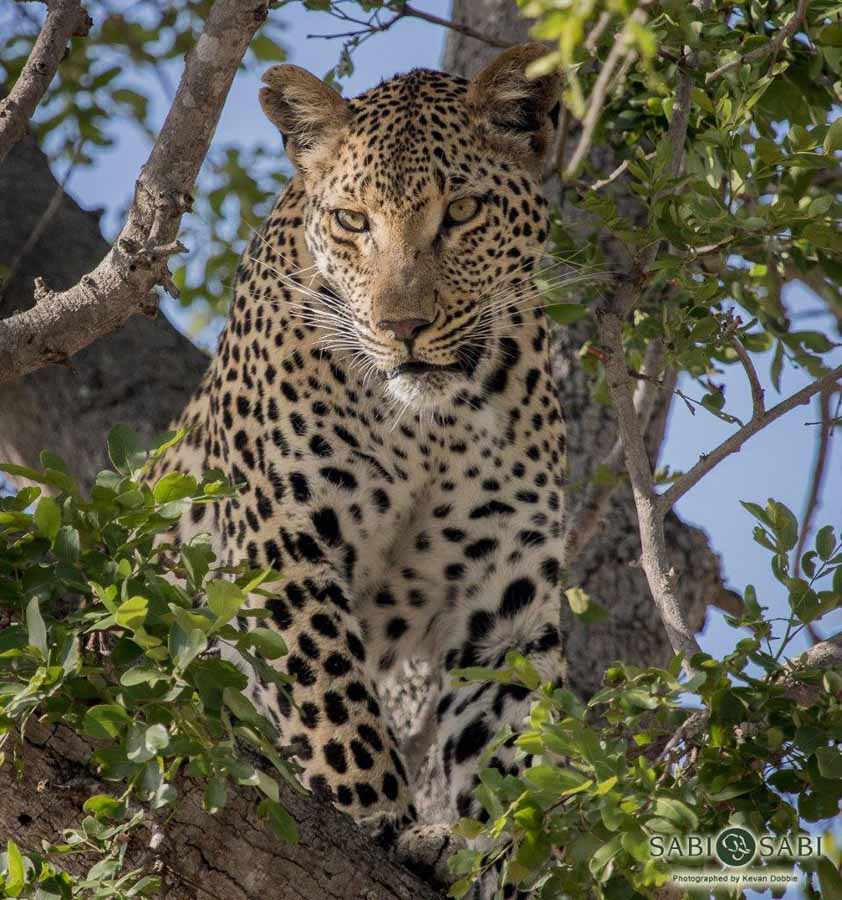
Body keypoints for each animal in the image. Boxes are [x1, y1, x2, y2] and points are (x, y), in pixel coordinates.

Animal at [157, 44, 568, 895]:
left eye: (462, 212)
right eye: (353, 221)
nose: (402, 326)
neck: (432, 423)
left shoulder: (504, 603)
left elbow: (512, 751)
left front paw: (510, 860)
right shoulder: (282, 545)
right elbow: (334, 703)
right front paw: (387, 824)